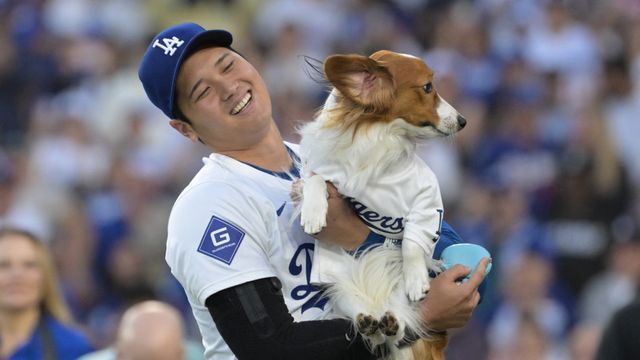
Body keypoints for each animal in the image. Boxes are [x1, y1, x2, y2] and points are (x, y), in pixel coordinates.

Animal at [298, 49, 468, 358]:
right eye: (427, 87)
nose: (462, 121)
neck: (381, 136)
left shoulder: (427, 201)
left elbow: (412, 244)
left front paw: (416, 279)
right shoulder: (324, 170)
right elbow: (314, 179)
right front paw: (314, 212)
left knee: (399, 323)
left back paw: (392, 323)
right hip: (343, 289)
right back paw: (370, 322)